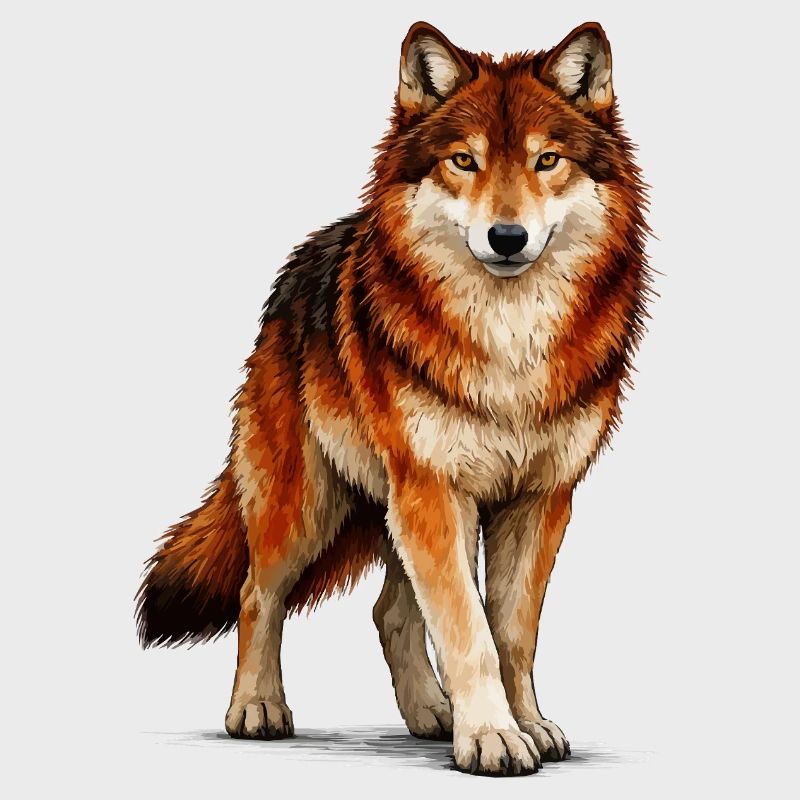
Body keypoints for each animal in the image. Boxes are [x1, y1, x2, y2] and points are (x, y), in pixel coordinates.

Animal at [136, 20, 649, 776]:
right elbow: (469, 631)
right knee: (259, 593)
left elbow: (511, 633)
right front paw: (492, 738)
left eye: (546, 160)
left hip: (398, 509)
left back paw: (432, 715)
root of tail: (301, 264)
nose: (507, 238)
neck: (509, 342)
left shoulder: (539, 499)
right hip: (311, 504)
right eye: (463, 161)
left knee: (390, 612)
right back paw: (257, 709)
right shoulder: (434, 490)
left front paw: (525, 724)